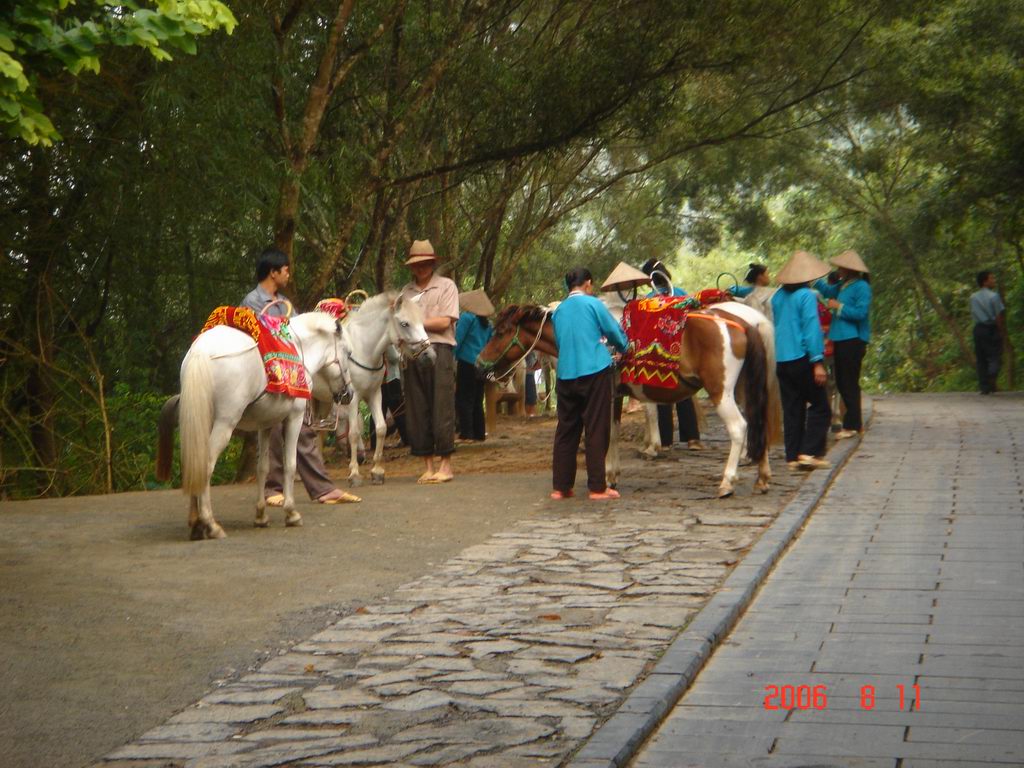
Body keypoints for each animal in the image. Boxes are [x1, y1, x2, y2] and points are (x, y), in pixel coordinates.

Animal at [157, 313, 354, 540]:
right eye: (349, 353)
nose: (349, 394)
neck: (298, 348)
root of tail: (201, 351)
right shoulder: (294, 418)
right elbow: (290, 464)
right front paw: (291, 513)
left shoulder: (265, 424)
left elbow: (263, 468)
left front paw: (261, 515)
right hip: (224, 424)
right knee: (205, 466)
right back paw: (210, 524)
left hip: (200, 421)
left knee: (193, 463)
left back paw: (196, 524)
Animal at [337, 292, 430, 487]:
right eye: (405, 323)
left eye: (421, 321)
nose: (429, 355)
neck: (361, 349)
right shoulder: (353, 397)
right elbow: (354, 432)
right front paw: (354, 473)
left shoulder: (374, 394)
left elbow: (380, 428)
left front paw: (377, 470)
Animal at [475, 301, 778, 499]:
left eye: (500, 333)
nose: (478, 363)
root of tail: (742, 322)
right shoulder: (615, 395)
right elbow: (613, 431)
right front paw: (612, 475)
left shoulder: (604, 394)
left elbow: (604, 433)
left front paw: (606, 477)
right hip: (744, 389)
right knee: (758, 422)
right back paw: (762, 478)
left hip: (721, 391)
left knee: (739, 428)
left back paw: (727, 482)